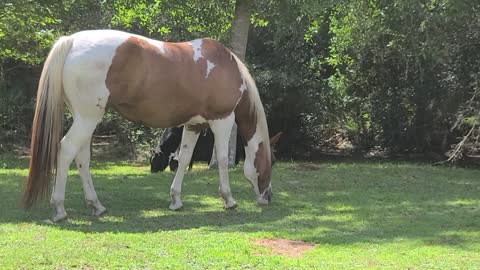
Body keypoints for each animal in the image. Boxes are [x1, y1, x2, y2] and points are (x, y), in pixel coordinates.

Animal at [23, 30, 274, 223]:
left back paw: (96, 205)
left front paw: (176, 200)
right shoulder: (222, 120)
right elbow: (222, 159)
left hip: (85, 119)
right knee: (66, 150)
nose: (268, 197)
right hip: (87, 119)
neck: (224, 66)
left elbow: (183, 159)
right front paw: (228, 199)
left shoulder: (193, 125)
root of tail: (72, 40)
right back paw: (59, 209)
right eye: (268, 164)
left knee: (82, 156)